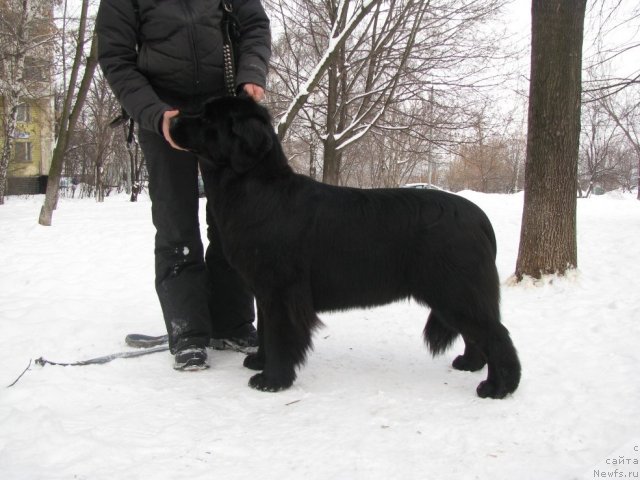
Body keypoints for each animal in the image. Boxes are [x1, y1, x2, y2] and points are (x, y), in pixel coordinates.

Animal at [170, 95, 520, 400]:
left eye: (206, 117)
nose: (171, 119)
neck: (257, 190)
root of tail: (478, 217)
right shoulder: (265, 290)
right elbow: (267, 330)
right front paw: (259, 362)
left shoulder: (282, 291)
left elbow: (280, 335)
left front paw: (272, 380)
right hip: (457, 295)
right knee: (479, 334)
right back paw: (470, 364)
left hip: (456, 291)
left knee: (497, 335)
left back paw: (498, 387)